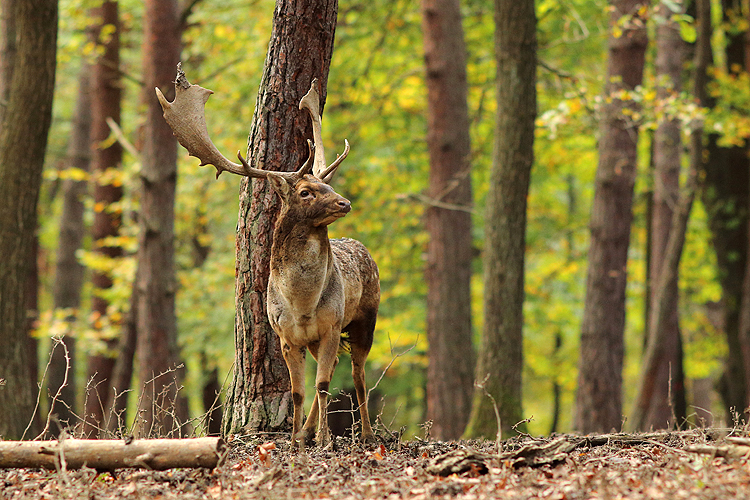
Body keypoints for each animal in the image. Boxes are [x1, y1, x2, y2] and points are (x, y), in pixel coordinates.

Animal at [159, 66, 382, 446]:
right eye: (306, 191)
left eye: (329, 185)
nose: (344, 202)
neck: (302, 304)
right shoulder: (287, 336)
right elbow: (297, 391)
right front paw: (295, 439)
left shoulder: (331, 325)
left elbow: (323, 385)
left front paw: (324, 439)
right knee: (340, 369)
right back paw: (308, 430)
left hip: (366, 316)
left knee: (358, 373)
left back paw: (367, 434)